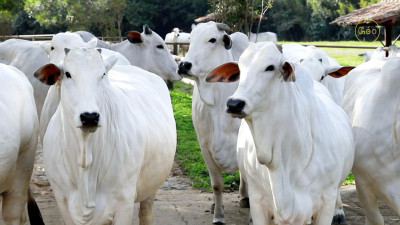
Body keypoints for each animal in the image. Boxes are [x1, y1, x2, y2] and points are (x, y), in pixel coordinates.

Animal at [33, 46, 177, 224]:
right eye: (68, 74)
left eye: (102, 74)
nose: (89, 116)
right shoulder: (62, 201)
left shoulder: (124, 202)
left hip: (152, 186)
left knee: (146, 213)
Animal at [177, 20, 248, 223]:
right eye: (190, 39)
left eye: (212, 39)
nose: (183, 65)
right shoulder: (205, 147)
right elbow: (217, 185)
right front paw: (218, 216)